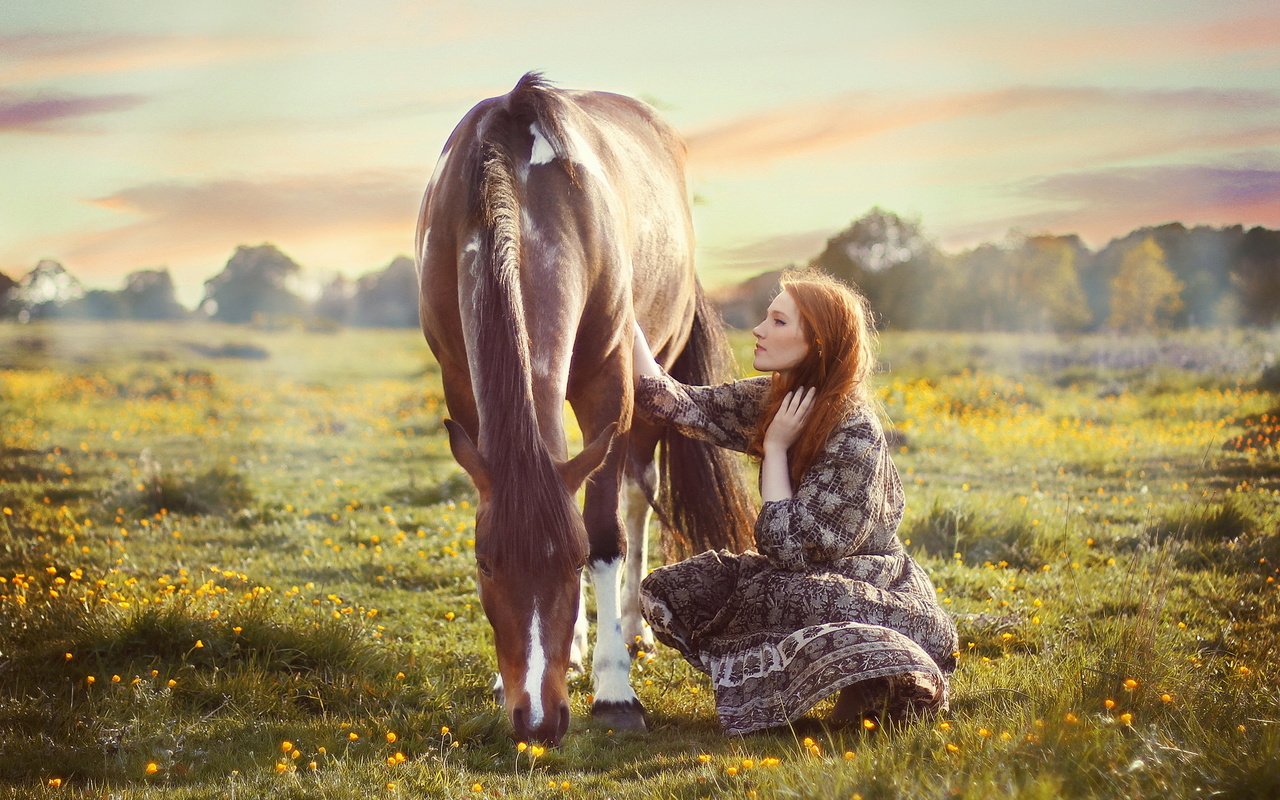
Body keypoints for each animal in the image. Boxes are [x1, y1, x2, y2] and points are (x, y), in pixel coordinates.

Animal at [414, 74, 752, 742]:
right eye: (485, 563)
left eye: (569, 562)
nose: (537, 720)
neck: (515, 185)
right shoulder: (461, 386)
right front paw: (515, 676)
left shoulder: (609, 386)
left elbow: (605, 535)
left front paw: (615, 691)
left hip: (649, 388)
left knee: (637, 493)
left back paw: (631, 629)